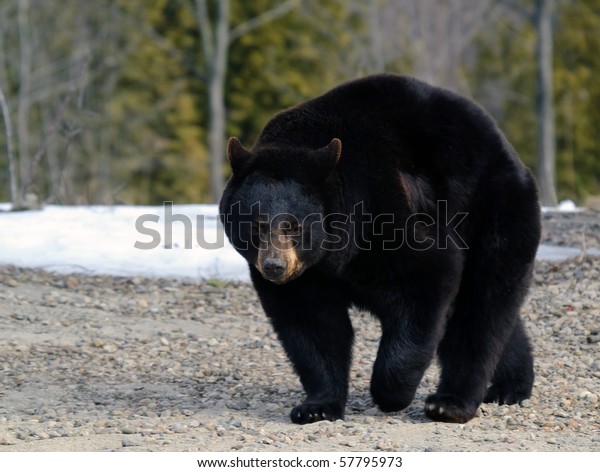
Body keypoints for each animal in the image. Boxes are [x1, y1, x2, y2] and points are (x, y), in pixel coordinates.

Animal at [218, 74, 540, 424]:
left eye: (293, 226)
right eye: (256, 225)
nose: (275, 266)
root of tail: (509, 152)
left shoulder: (385, 208)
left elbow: (426, 277)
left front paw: (391, 394)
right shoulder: (307, 276)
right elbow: (310, 324)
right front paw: (316, 407)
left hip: (490, 210)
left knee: (483, 304)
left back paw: (450, 403)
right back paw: (510, 386)